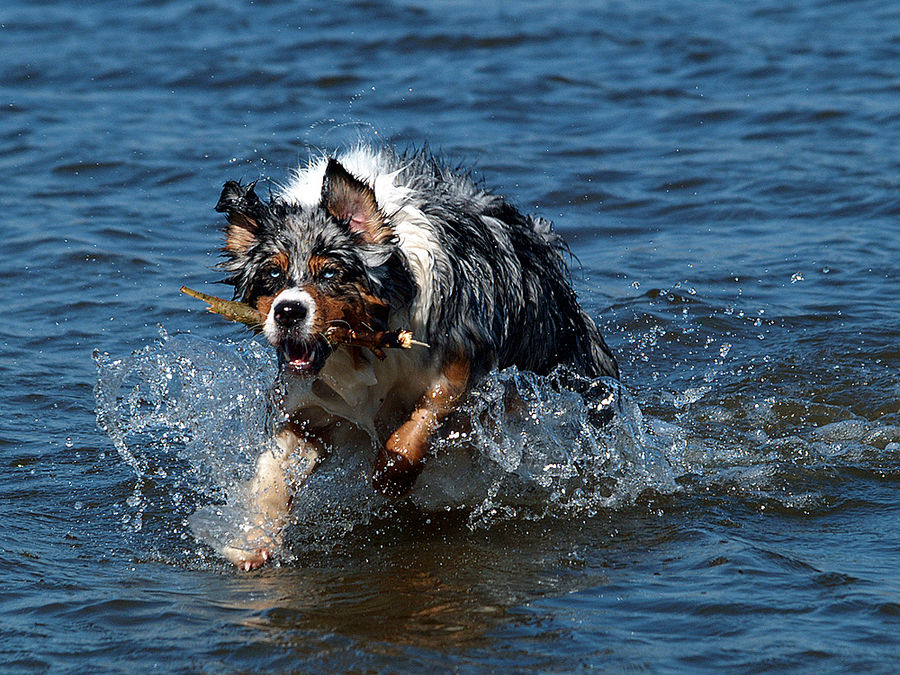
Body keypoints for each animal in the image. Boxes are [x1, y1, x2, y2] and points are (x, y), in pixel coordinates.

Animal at [213, 148, 620, 572]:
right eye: (272, 274)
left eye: (330, 273)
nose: (288, 312)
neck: (366, 346)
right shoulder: (313, 410)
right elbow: (273, 474)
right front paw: (251, 538)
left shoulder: (462, 359)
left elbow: (421, 421)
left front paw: (390, 474)